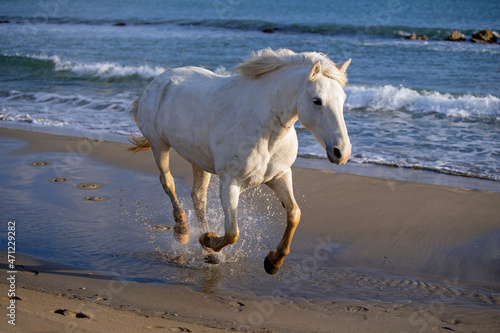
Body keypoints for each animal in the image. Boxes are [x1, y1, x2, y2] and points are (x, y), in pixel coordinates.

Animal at [129, 48, 352, 272]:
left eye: (343, 99)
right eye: (317, 100)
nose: (342, 152)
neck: (265, 130)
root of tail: (156, 82)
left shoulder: (280, 175)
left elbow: (294, 214)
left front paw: (273, 261)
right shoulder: (230, 182)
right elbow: (232, 233)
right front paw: (208, 240)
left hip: (197, 159)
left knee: (198, 197)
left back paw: (209, 253)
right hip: (159, 145)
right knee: (168, 182)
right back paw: (183, 232)